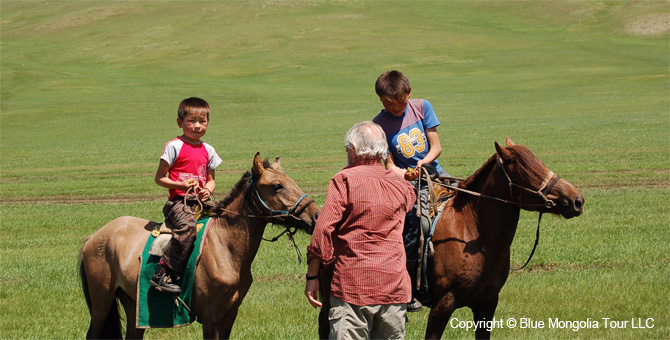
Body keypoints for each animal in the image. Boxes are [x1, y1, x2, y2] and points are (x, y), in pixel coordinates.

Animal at [80, 154, 322, 340]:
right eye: (277, 186)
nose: (316, 216)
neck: (224, 246)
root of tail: (94, 237)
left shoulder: (229, 314)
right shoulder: (210, 316)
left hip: (133, 304)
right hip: (101, 302)